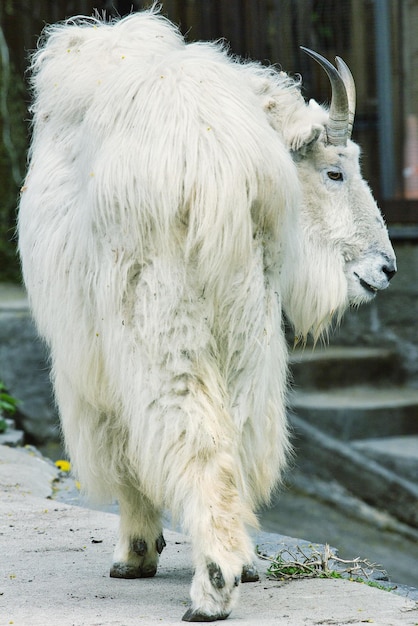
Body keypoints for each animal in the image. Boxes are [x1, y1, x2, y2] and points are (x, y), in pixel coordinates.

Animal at [18, 8, 396, 620]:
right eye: (336, 172)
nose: (386, 267)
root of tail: (220, 171)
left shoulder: (91, 362)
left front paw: (135, 552)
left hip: (163, 320)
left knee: (194, 435)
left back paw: (213, 583)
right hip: (246, 321)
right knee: (237, 432)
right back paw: (240, 560)